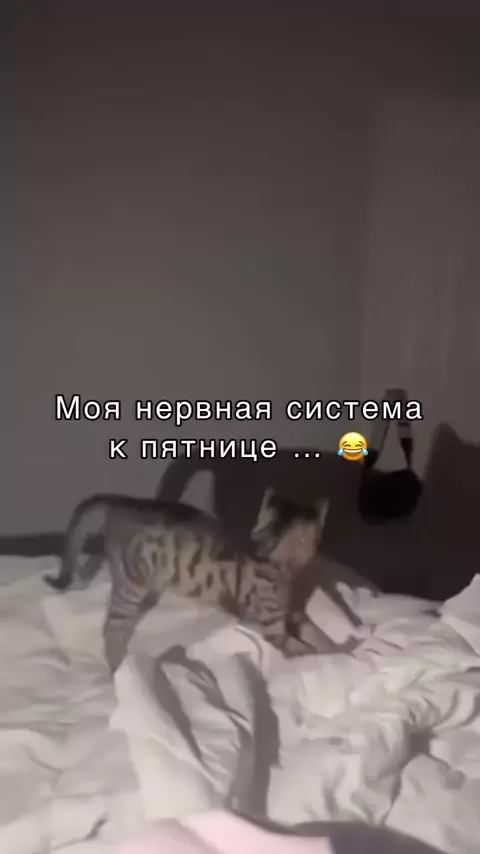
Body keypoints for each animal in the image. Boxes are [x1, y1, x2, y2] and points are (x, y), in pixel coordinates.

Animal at [44, 490, 329, 672]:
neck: (270, 554)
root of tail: (122, 503)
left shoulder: (291, 611)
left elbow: (315, 631)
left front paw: (332, 646)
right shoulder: (269, 625)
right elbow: (299, 647)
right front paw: (322, 656)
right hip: (131, 583)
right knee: (112, 629)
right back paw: (120, 669)